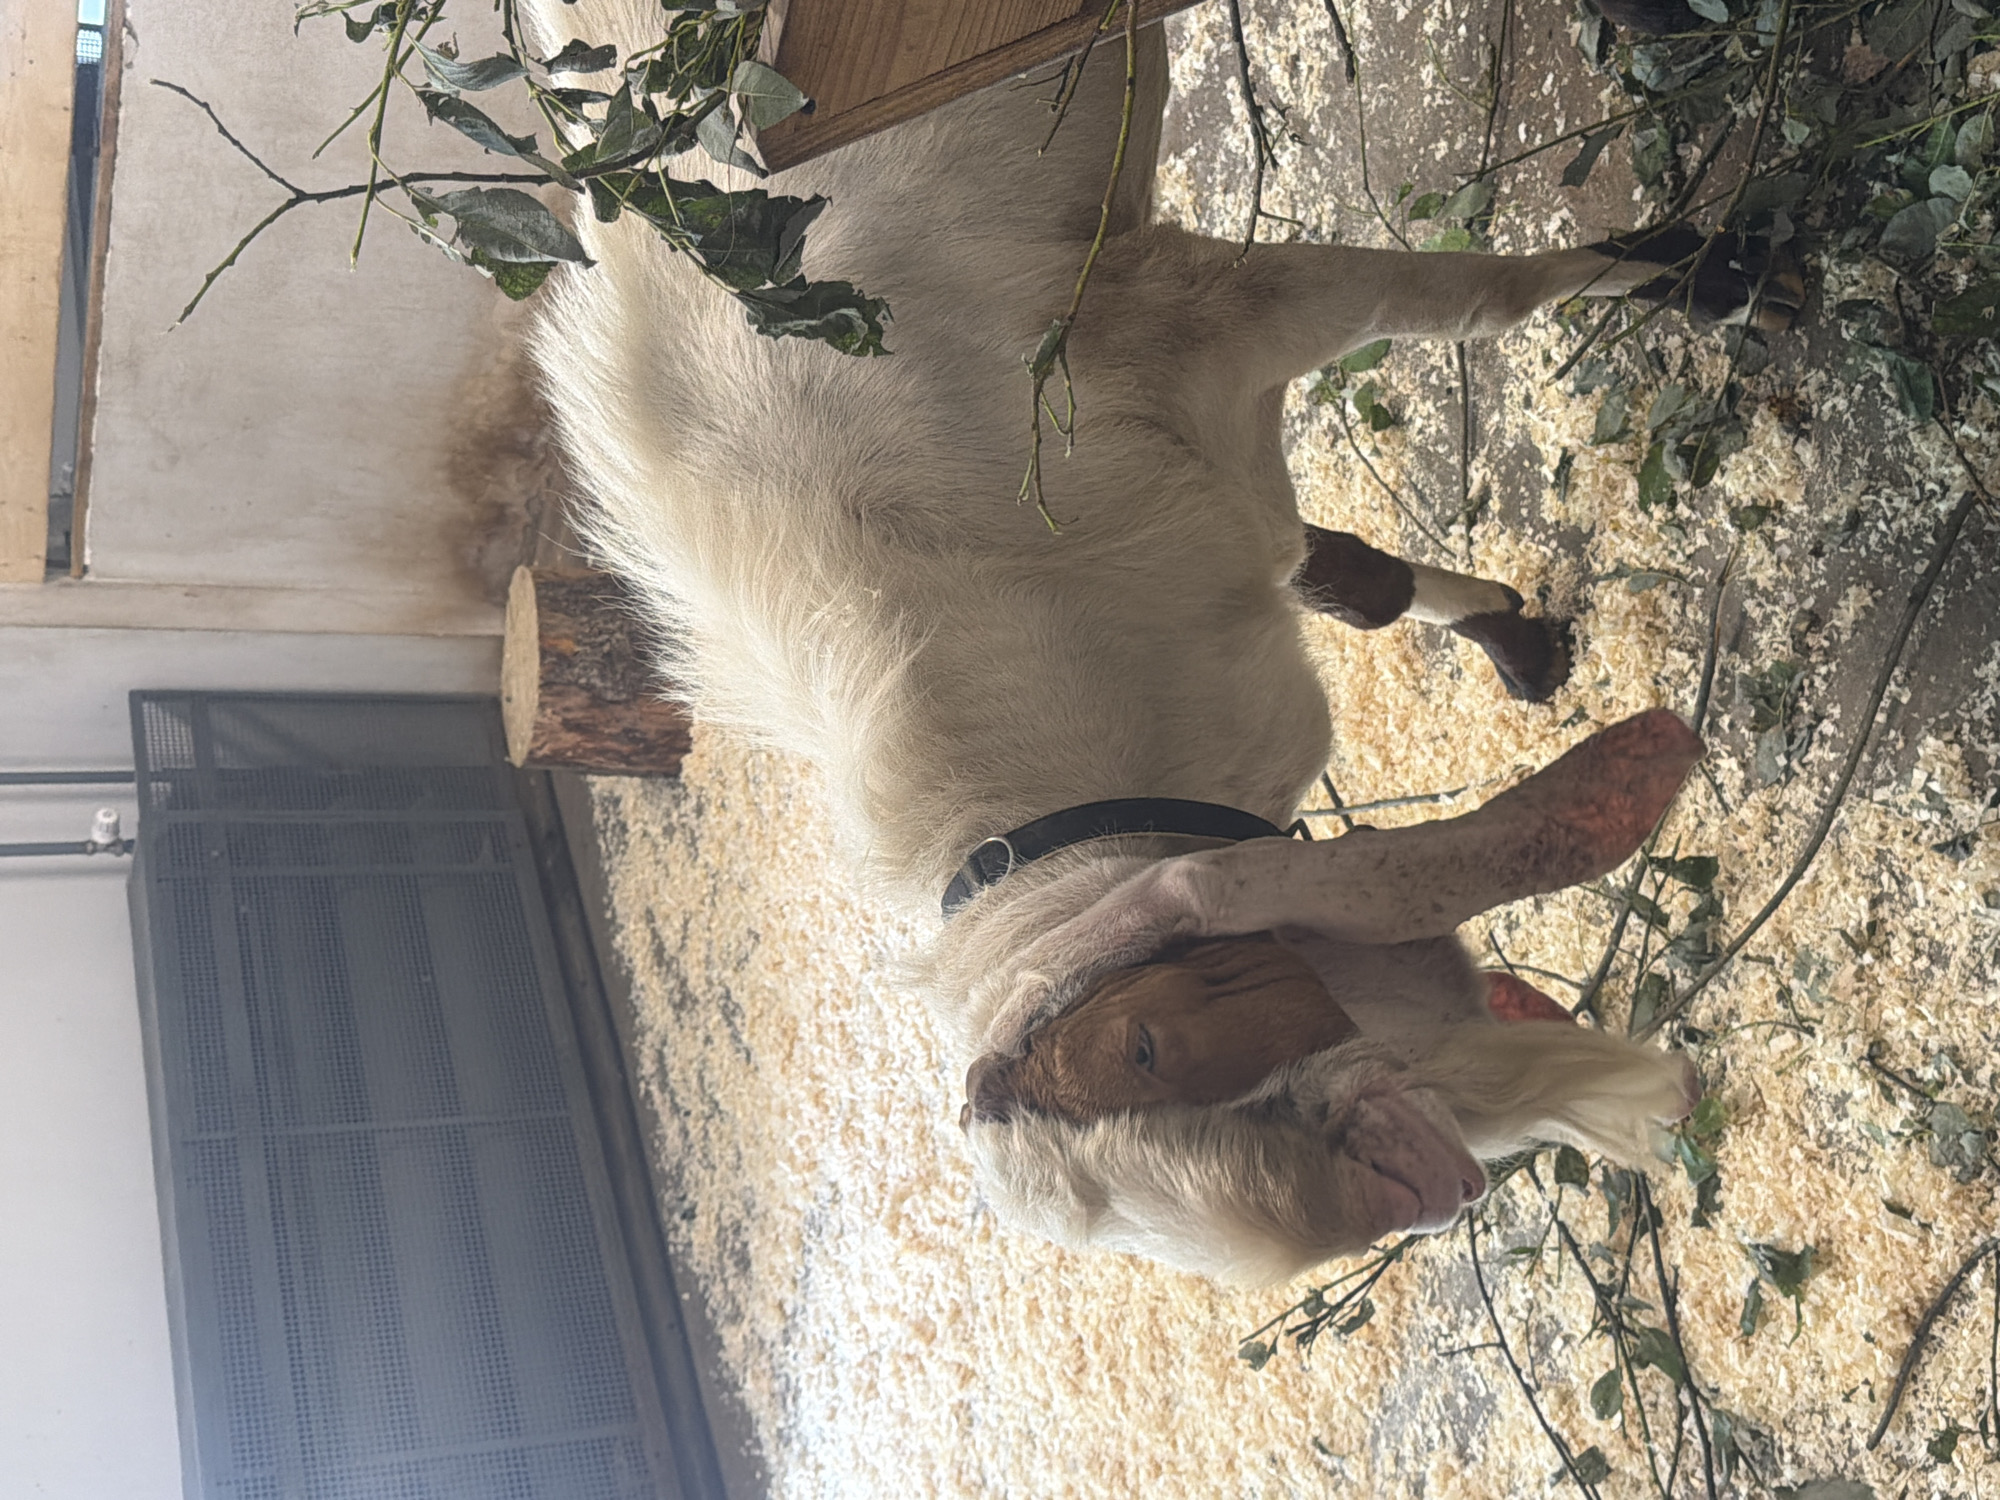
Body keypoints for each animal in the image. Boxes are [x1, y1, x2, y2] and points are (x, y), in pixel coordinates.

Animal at [522, 3, 1786, 1284]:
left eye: (1143, 1046)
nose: (1415, 1182)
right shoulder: (1211, 478)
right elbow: (1351, 583)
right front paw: (1513, 638)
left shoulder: (1197, 309)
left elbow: (1488, 300)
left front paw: (1714, 275)